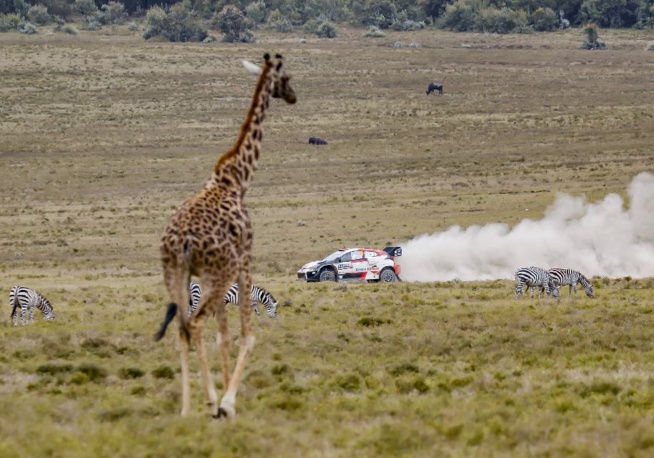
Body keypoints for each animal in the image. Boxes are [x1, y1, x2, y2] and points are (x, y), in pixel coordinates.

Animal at [154, 53, 298, 418]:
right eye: (287, 77)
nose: (293, 96)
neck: (238, 178)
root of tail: (182, 241)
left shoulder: (207, 276)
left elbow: (224, 336)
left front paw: (221, 397)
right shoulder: (244, 260)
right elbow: (245, 335)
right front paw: (227, 402)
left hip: (175, 274)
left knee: (182, 328)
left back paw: (187, 408)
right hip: (218, 274)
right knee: (194, 325)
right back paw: (209, 401)